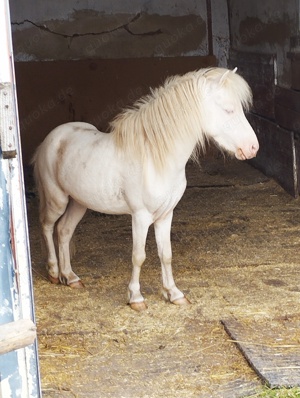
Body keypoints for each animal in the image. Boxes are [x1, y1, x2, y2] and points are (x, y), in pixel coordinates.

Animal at [32, 67, 258, 310]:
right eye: (228, 109)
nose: (253, 148)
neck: (154, 158)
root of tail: (52, 138)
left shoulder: (166, 215)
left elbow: (166, 254)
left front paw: (174, 294)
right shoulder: (140, 217)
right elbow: (138, 256)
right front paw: (136, 298)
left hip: (79, 203)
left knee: (64, 231)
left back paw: (70, 277)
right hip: (57, 200)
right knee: (47, 226)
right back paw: (54, 272)